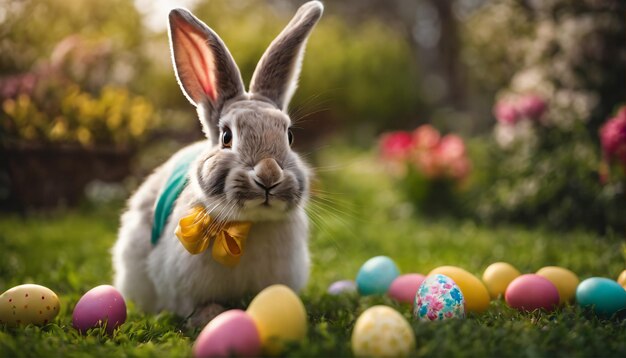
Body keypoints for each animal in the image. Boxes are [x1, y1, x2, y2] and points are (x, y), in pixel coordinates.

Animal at [112, 0, 324, 324]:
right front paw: (210, 318)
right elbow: (200, 308)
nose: (269, 175)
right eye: (226, 136)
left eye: (289, 136)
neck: (249, 225)